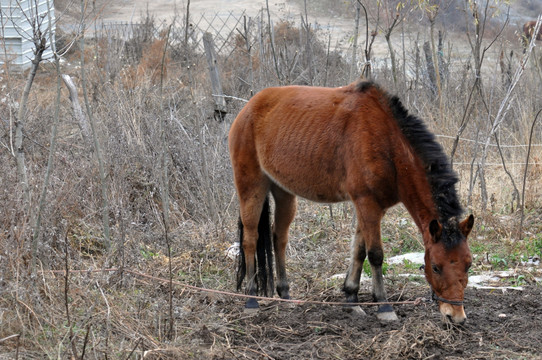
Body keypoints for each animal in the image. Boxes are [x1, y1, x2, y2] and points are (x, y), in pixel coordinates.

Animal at [230, 80, 476, 322]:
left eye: (468, 264)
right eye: (435, 267)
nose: (456, 315)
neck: (387, 142)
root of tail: (248, 108)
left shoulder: (372, 207)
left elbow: (359, 249)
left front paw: (351, 298)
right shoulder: (367, 203)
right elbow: (375, 254)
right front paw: (384, 306)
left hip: (283, 192)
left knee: (279, 238)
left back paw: (285, 295)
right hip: (252, 187)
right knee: (250, 239)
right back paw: (251, 300)